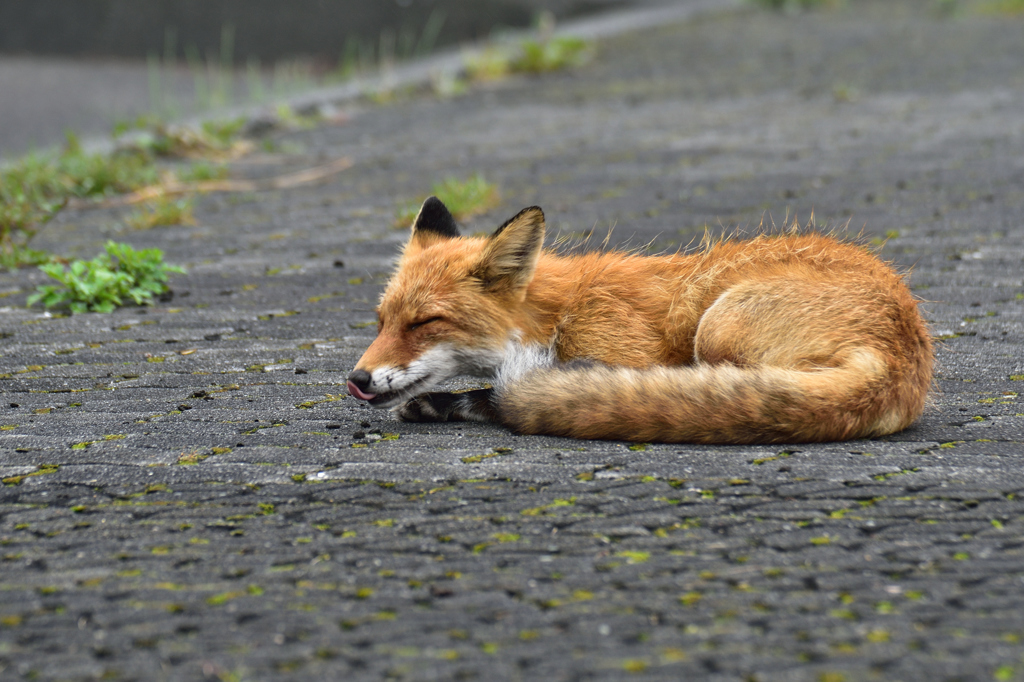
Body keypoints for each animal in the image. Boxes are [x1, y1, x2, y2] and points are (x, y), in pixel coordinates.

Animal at [348, 193, 933, 444]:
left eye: (425, 323)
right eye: (381, 322)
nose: (356, 379)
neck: (559, 316)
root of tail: (901, 352)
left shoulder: (628, 352)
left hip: (717, 326)